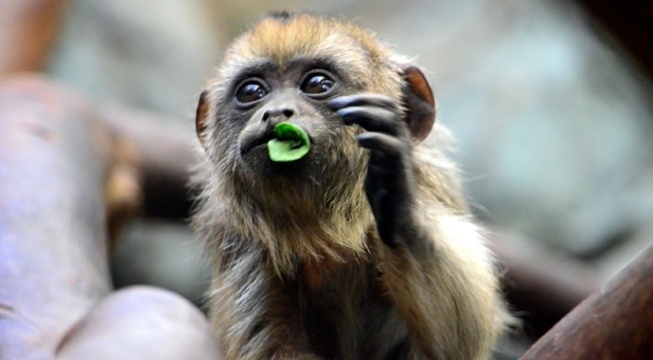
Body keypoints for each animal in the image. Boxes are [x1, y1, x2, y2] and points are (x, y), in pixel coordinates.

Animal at [191, 10, 506, 360]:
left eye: (317, 84)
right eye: (251, 92)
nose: (274, 112)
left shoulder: (432, 184)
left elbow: (456, 346)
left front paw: (396, 196)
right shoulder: (241, 241)